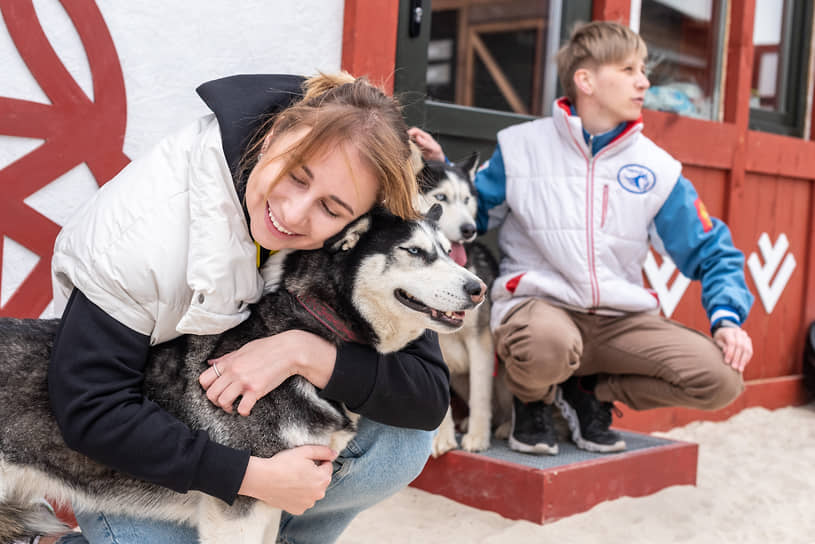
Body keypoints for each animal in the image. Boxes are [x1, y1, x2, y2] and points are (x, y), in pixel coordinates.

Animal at [0, 205, 484, 544]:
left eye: (447, 252)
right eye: (414, 252)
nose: (477, 288)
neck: (306, 321)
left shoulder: (275, 501)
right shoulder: (242, 506)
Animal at [418, 156, 506, 454]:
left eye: (467, 199)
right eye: (441, 197)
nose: (470, 229)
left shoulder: (480, 341)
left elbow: (481, 394)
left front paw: (478, 437)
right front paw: (441, 438)